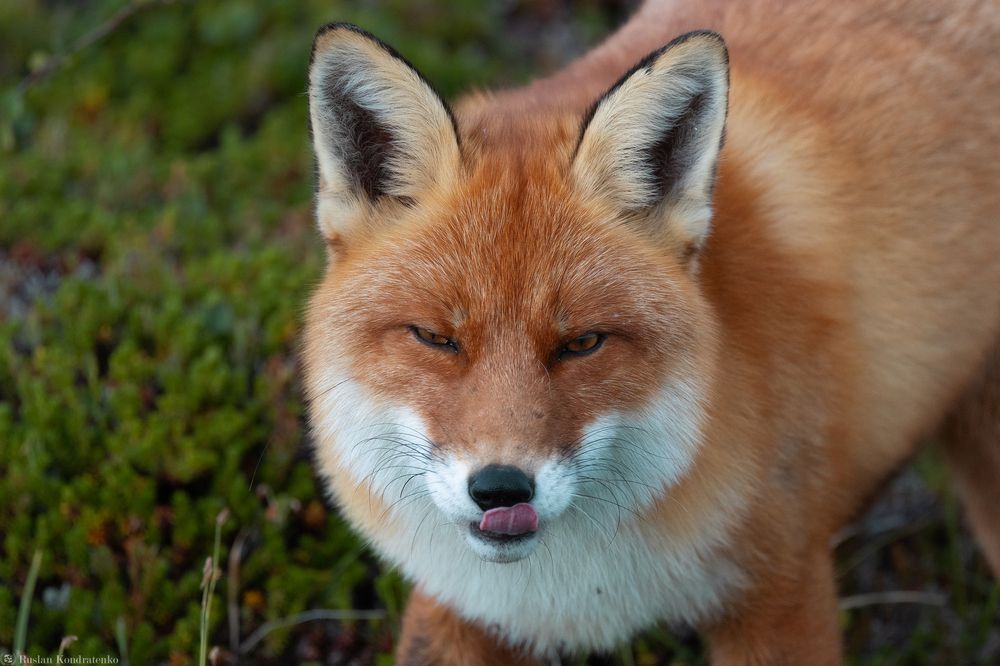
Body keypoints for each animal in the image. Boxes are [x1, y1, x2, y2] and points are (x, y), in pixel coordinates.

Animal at [300, 0, 1000, 663]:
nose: (500, 489)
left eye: (582, 343)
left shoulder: (780, 587)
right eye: (435, 338)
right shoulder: (465, 599)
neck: (570, 588)